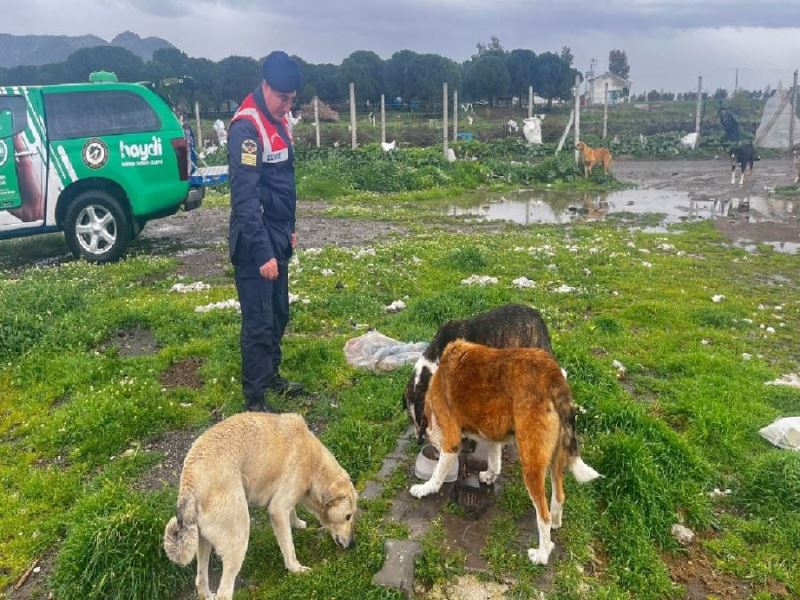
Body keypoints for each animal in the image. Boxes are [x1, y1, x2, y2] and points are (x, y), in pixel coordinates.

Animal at [162, 412, 356, 600]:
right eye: (348, 516)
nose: (353, 545)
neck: (313, 461)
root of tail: (190, 481)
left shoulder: (283, 500)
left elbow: (292, 512)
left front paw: (297, 523)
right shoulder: (278, 508)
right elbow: (289, 548)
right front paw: (296, 569)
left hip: (203, 543)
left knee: (201, 582)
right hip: (238, 538)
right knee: (224, 592)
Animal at [406, 340, 600, 564]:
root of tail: (551, 374)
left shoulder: (451, 440)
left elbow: (437, 475)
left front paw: (424, 488)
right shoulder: (492, 433)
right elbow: (494, 459)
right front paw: (489, 476)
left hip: (531, 462)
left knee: (542, 515)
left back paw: (542, 554)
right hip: (555, 457)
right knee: (559, 496)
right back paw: (556, 522)